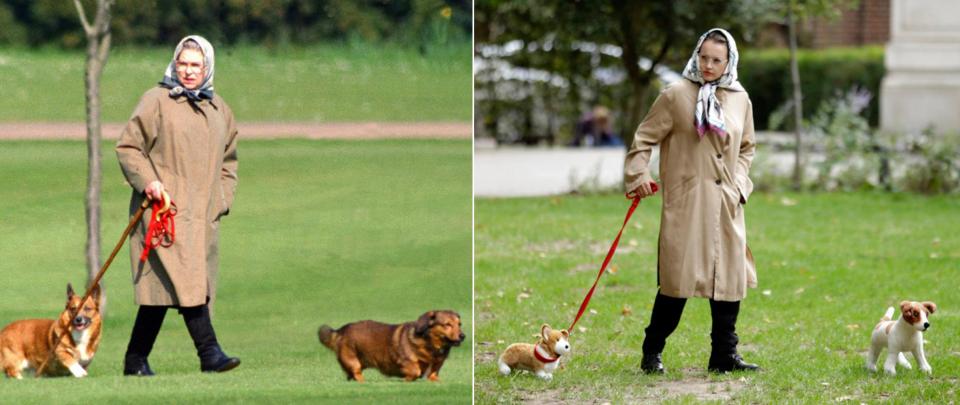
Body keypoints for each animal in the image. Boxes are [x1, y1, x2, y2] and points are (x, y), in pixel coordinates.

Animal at [316, 310, 464, 380]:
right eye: (447, 324)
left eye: (459, 324)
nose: (463, 336)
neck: (430, 344)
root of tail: (341, 330)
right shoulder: (405, 361)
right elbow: (415, 371)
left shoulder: (434, 372)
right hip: (353, 362)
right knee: (357, 375)